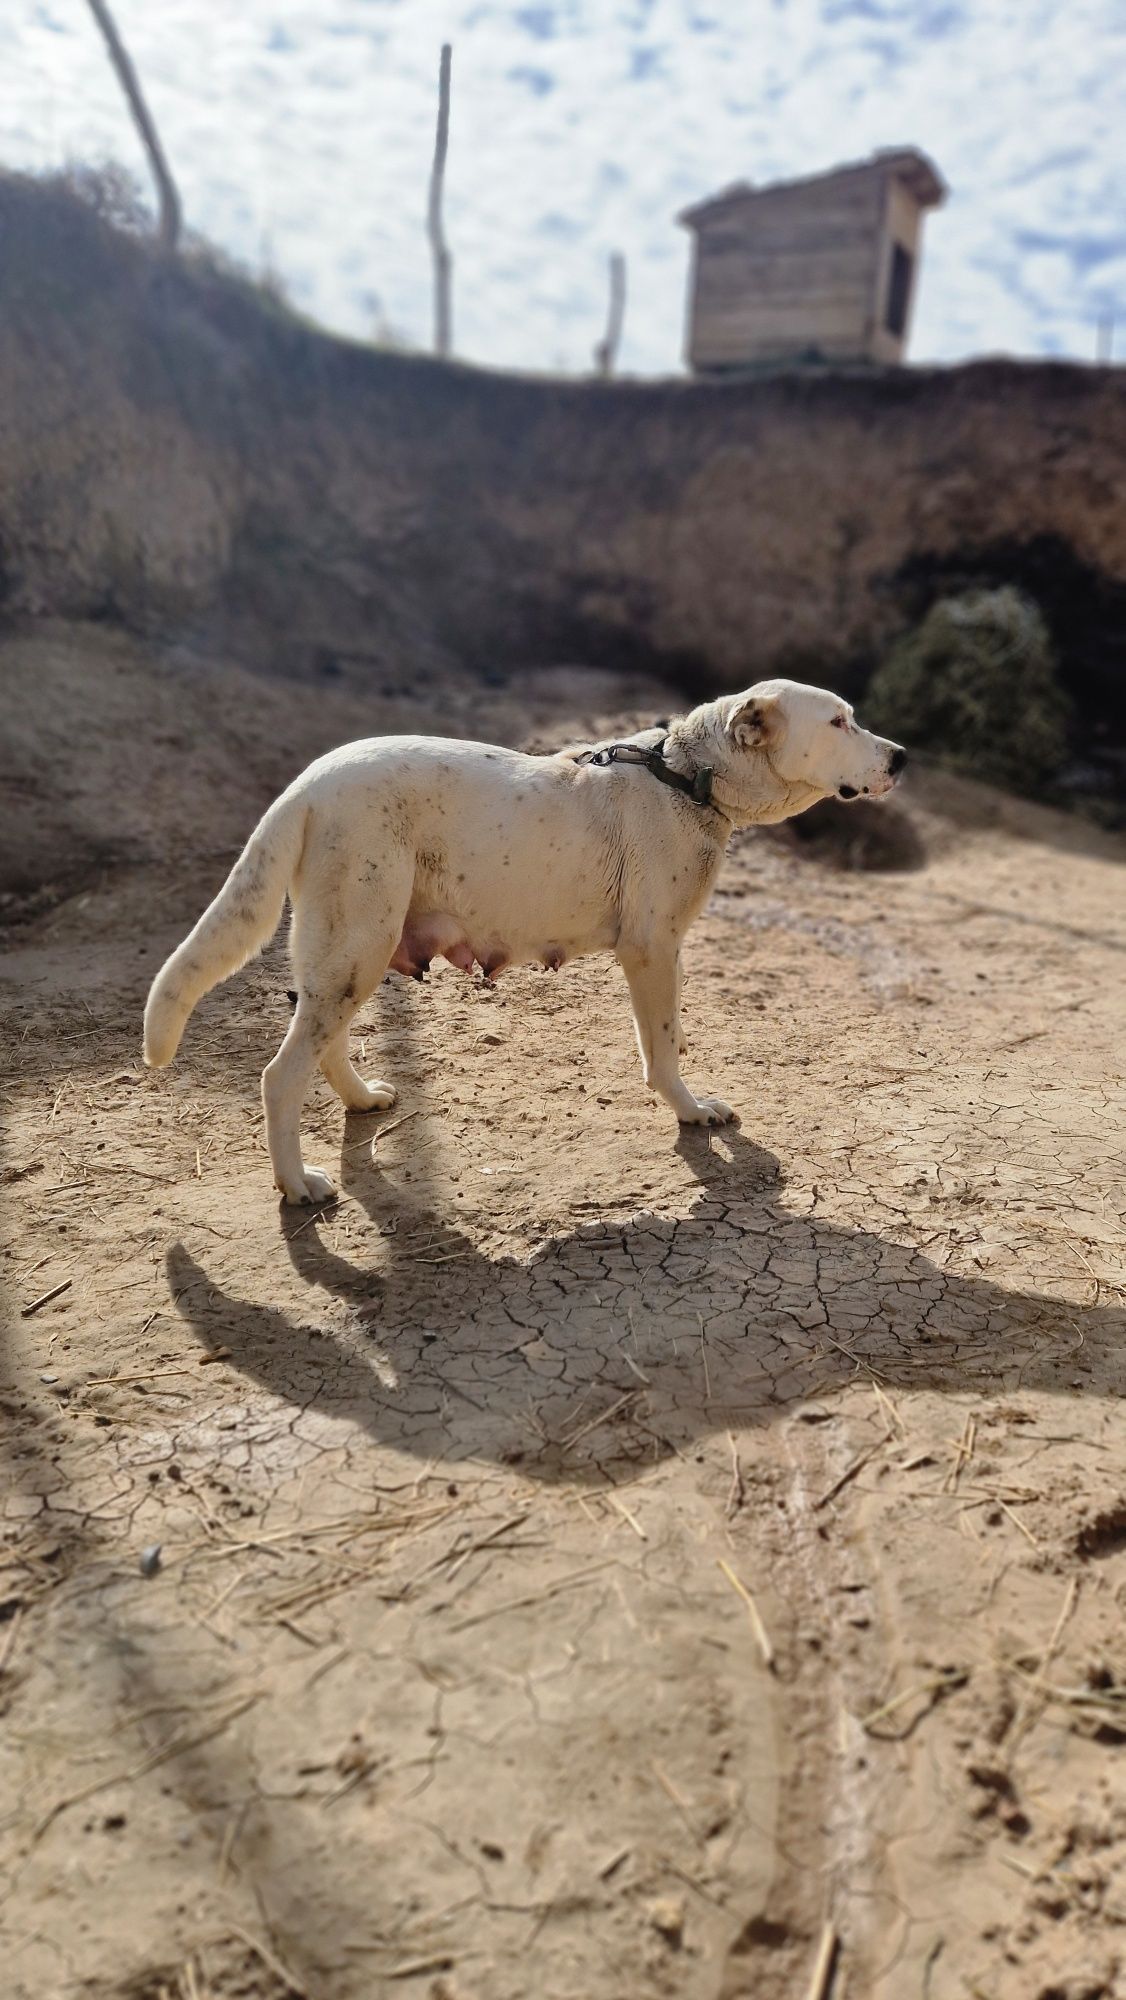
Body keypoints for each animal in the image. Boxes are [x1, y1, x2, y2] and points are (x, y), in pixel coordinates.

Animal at [145, 680, 908, 1200]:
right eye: (839, 721)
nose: (901, 757)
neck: (688, 775)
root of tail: (304, 787)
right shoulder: (653, 952)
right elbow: (664, 1049)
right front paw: (691, 1112)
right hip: (355, 948)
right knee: (281, 1075)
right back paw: (297, 1184)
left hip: (351, 953)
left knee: (321, 1045)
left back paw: (361, 1100)